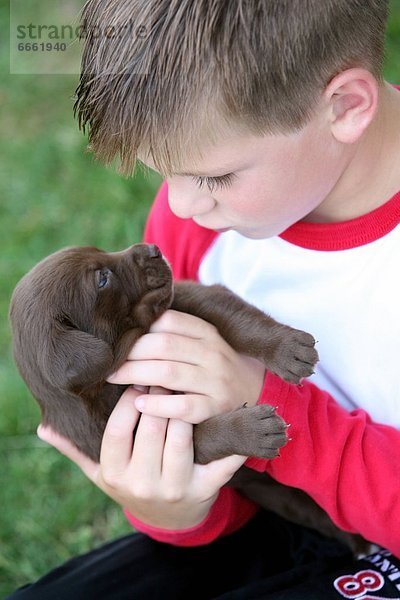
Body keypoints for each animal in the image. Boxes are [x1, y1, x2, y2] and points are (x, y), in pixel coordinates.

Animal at [9, 241, 366, 552]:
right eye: (102, 278)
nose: (153, 248)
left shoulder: (187, 295)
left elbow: (237, 318)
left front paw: (285, 347)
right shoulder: (110, 437)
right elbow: (206, 435)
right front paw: (254, 431)